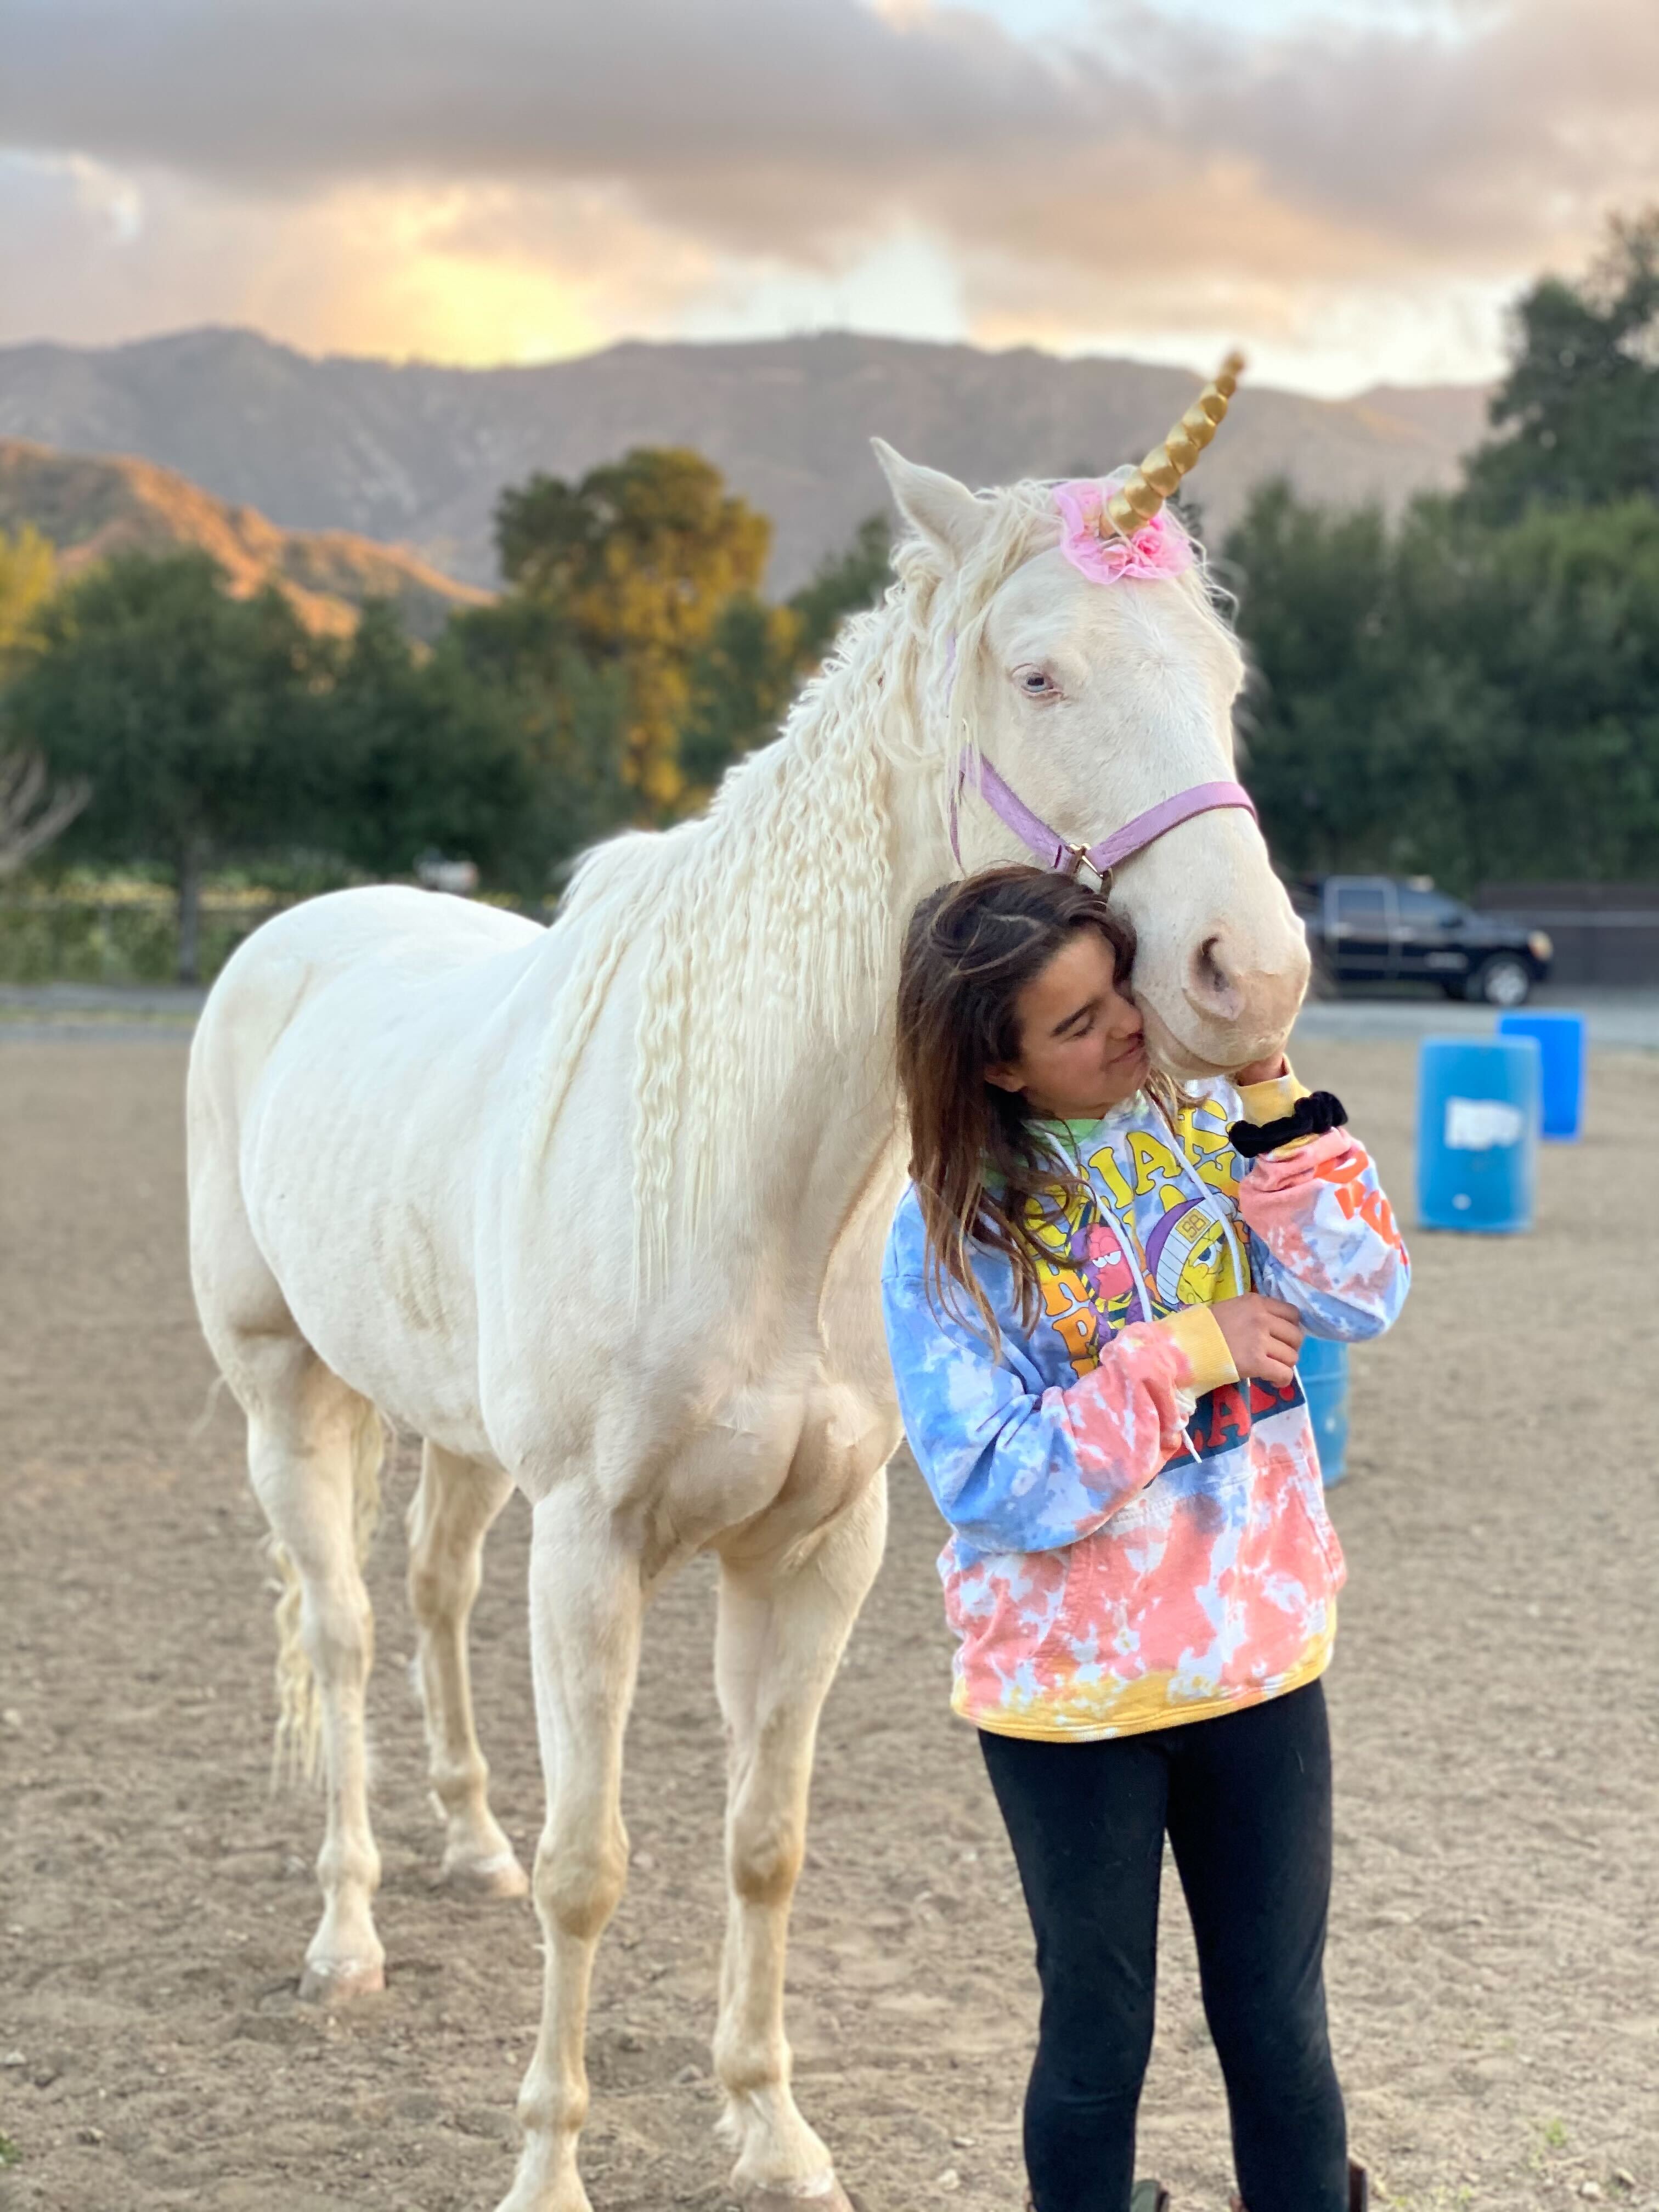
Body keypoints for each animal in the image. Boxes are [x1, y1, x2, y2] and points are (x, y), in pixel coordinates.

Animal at [186, 400, 1310, 2212]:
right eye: (1041, 675)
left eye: (1220, 678)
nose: (1251, 975)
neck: (757, 1175)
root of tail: (297, 932)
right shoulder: (593, 1546)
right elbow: (594, 1864)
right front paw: (549, 2169)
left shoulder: (815, 1547)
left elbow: (764, 1846)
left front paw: (774, 2135)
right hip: (287, 1394)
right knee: (346, 1631)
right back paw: (347, 1938)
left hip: (454, 1431)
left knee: (430, 1596)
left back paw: (467, 1844)